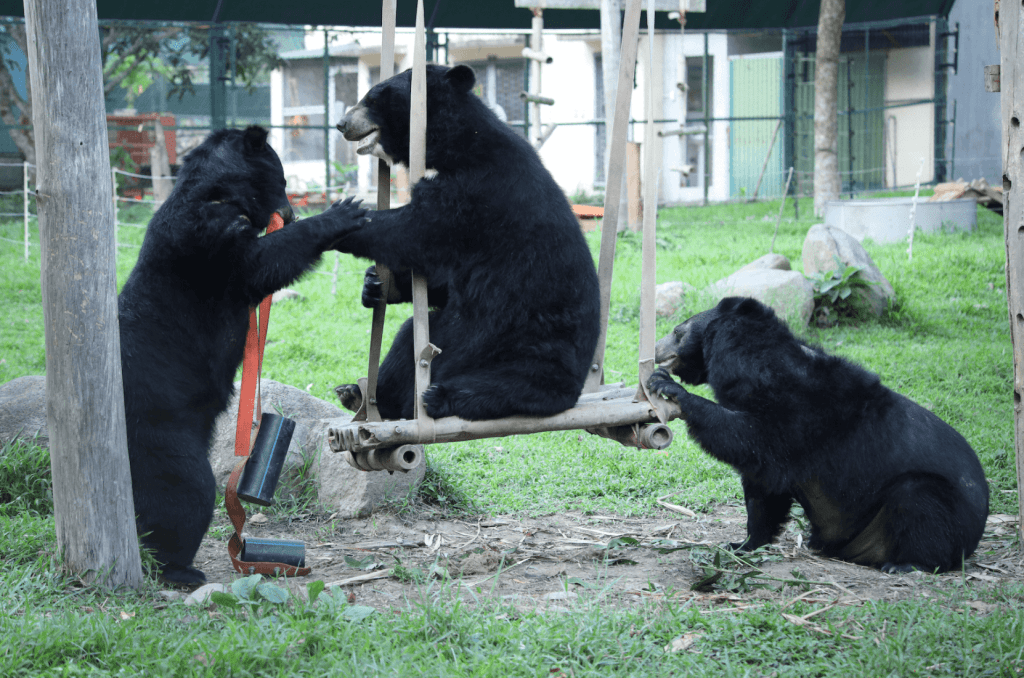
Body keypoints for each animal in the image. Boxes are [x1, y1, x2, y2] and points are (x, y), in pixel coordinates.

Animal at [117, 126, 366, 584]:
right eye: (282, 179)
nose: (290, 213)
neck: (218, 194)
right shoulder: (207, 241)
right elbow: (261, 261)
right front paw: (345, 211)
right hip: (160, 432)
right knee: (186, 492)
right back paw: (178, 568)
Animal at [332, 64, 601, 421]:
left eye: (375, 98)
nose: (342, 124)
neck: (448, 143)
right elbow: (444, 279)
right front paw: (375, 285)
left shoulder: (478, 188)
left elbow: (417, 229)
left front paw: (339, 221)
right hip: (447, 331)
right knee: (407, 341)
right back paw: (361, 394)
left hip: (534, 344)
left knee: (518, 384)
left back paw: (440, 396)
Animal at [647, 296, 989, 574]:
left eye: (677, 332)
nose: (655, 350)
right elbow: (763, 489)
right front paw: (742, 545)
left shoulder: (800, 418)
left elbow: (750, 440)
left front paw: (668, 387)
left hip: (932, 504)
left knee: (921, 503)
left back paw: (908, 565)